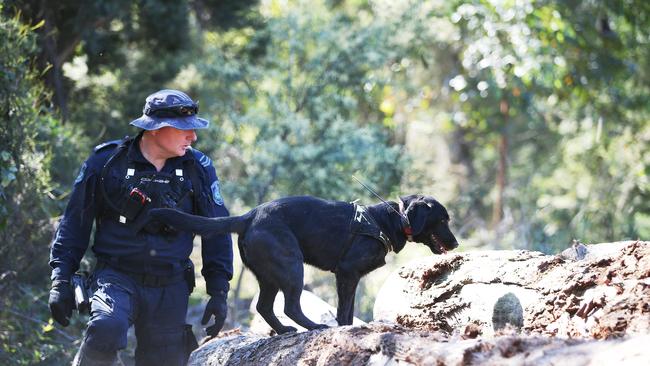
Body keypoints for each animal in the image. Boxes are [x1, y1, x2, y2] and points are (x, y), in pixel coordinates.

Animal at [151, 194, 456, 334]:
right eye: (442, 220)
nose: (455, 244)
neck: (388, 220)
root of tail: (249, 216)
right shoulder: (346, 272)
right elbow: (343, 311)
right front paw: (342, 329)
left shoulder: (351, 278)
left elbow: (348, 310)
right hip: (292, 266)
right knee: (290, 306)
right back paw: (313, 326)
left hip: (270, 275)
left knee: (264, 306)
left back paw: (284, 330)